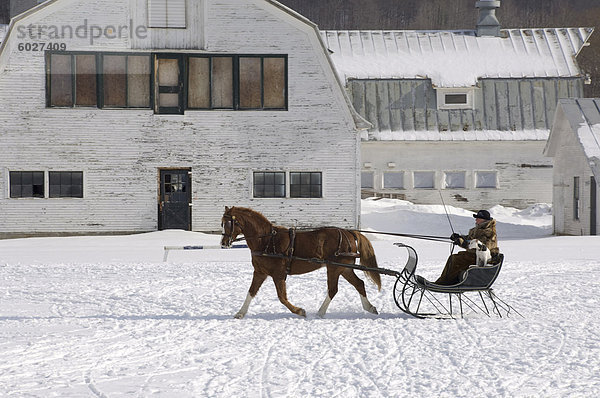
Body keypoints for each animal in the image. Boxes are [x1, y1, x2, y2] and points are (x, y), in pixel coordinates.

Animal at [219, 207, 380, 318]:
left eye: (229, 223)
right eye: (222, 223)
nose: (223, 243)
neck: (267, 240)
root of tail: (349, 233)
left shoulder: (278, 274)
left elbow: (282, 298)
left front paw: (299, 311)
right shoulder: (260, 272)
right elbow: (251, 292)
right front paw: (240, 313)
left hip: (334, 268)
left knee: (333, 290)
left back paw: (320, 312)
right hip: (344, 268)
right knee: (359, 284)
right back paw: (369, 307)